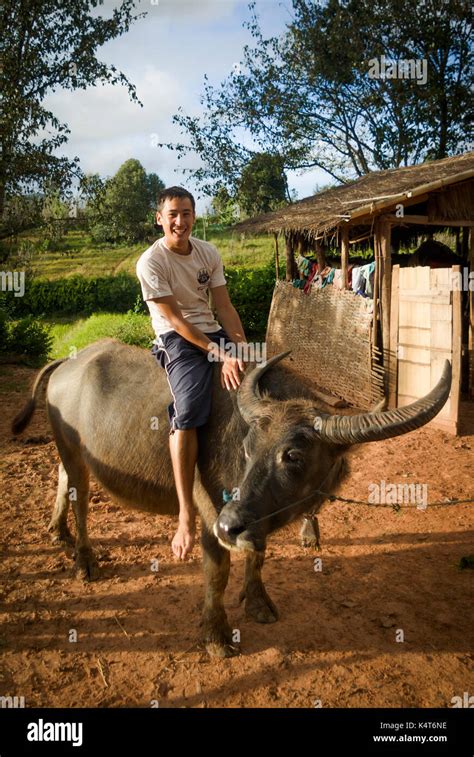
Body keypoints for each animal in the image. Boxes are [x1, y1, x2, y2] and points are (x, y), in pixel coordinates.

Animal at [12, 340, 452, 660]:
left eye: (294, 455)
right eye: (248, 447)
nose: (229, 524)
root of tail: (67, 364)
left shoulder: (254, 518)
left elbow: (257, 556)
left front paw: (258, 602)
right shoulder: (211, 514)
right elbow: (217, 573)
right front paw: (217, 635)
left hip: (71, 453)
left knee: (62, 479)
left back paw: (58, 531)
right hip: (73, 451)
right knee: (80, 496)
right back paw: (84, 560)